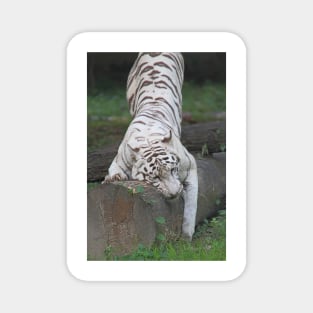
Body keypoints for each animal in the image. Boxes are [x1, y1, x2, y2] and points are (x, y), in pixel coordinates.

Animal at [104, 53, 197, 239]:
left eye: (173, 170)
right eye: (155, 177)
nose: (175, 193)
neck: (147, 138)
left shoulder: (190, 166)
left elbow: (192, 204)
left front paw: (186, 234)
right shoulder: (117, 160)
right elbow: (115, 171)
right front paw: (114, 178)